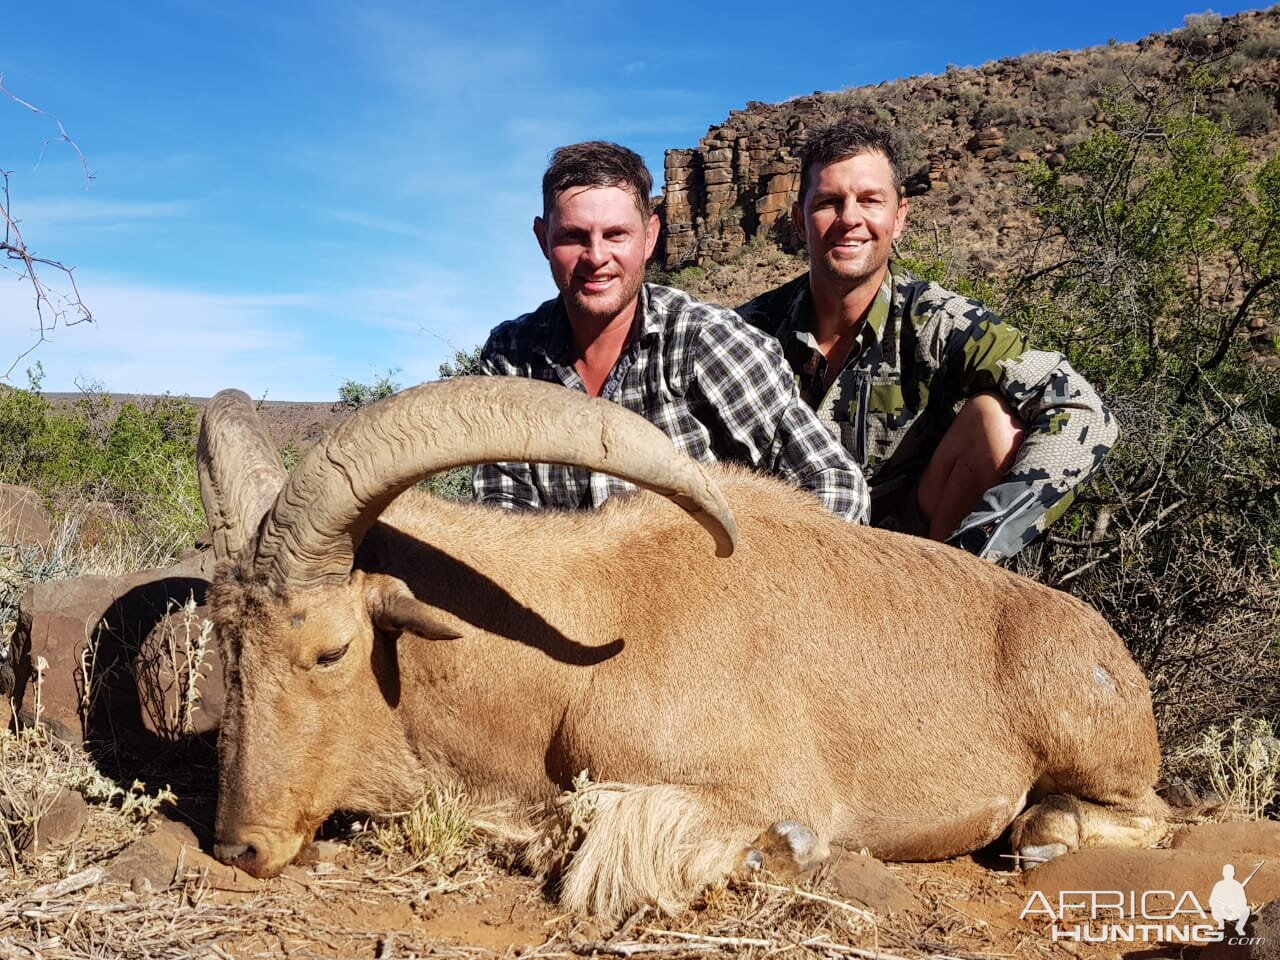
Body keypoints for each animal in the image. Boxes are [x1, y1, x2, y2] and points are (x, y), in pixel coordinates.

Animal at [199, 373, 1172, 916]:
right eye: (225, 641)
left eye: (330, 652)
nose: (238, 847)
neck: (573, 659)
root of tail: (1115, 655)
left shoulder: (753, 783)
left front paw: (789, 851)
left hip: (1093, 747)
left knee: (1135, 815)